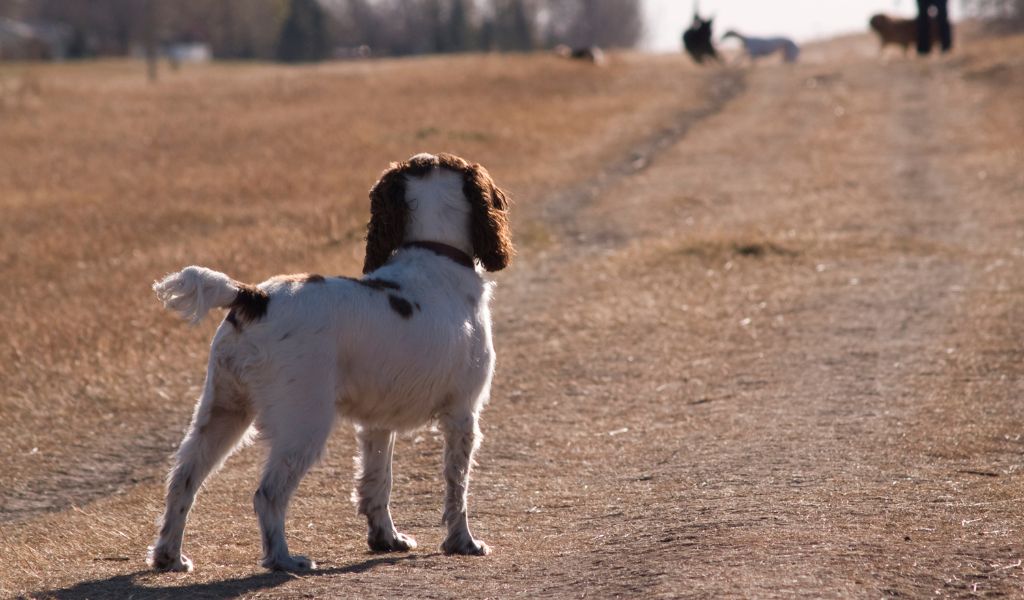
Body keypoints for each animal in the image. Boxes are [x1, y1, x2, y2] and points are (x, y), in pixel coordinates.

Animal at [144, 150, 512, 569]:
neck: (435, 254)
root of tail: (254, 297)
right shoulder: (462, 414)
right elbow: (457, 487)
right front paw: (463, 542)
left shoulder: (377, 423)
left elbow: (377, 483)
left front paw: (386, 538)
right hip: (304, 423)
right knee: (267, 493)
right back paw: (283, 560)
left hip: (222, 411)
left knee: (183, 480)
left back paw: (169, 556)